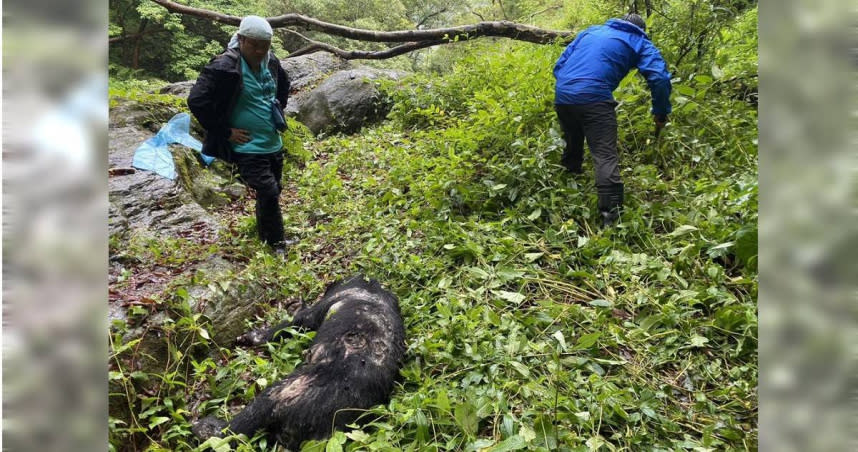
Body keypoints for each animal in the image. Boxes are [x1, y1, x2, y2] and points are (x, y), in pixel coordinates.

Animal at [192, 276, 406, 448]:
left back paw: (204, 426)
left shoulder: (310, 315)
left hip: (278, 393)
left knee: (232, 431)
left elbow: (284, 326)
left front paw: (252, 336)